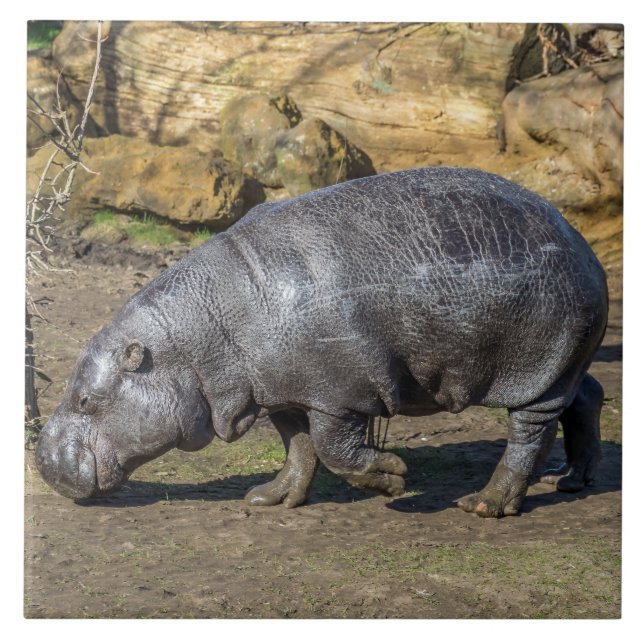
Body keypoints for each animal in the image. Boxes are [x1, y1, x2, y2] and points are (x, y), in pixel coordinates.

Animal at [35, 167, 607, 518]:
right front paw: (268, 499)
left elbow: (334, 450)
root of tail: (582, 243)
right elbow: (299, 447)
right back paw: (568, 480)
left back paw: (484, 504)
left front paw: (396, 478)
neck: (198, 336)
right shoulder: (282, 390)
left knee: (530, 432)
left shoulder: (340, 394)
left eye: (84, 399)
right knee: (586, 398)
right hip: (563, 364)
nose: (40, 460)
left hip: (534, 368)